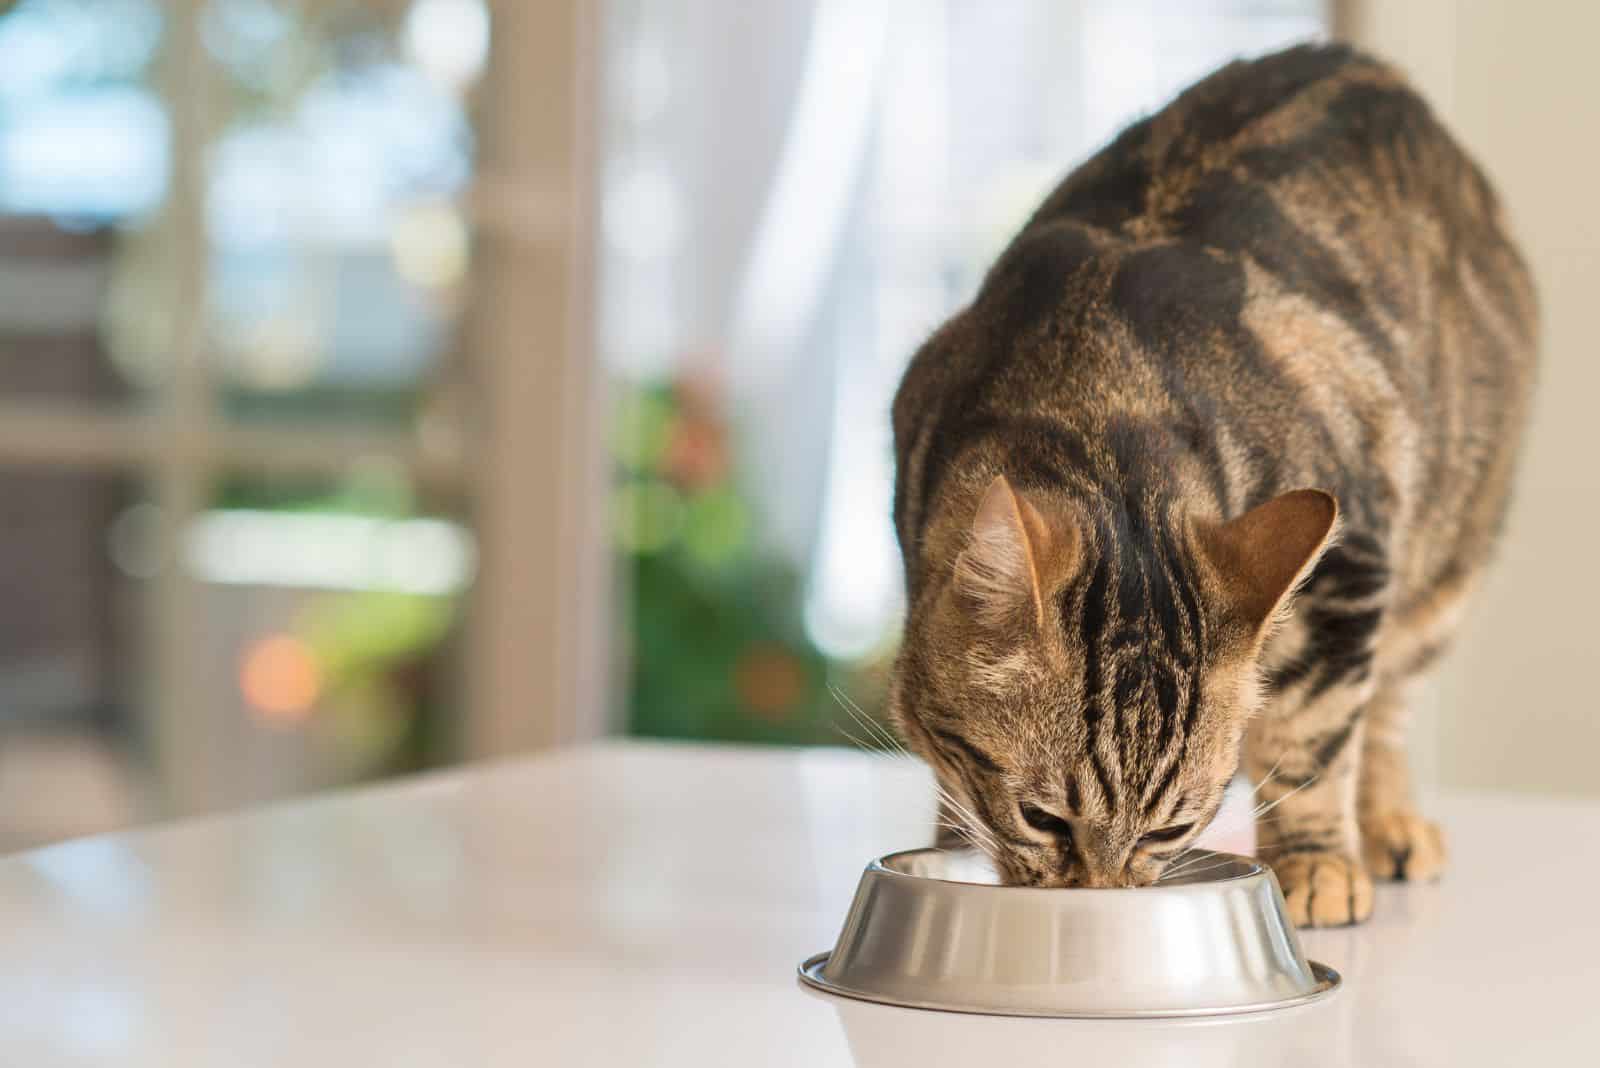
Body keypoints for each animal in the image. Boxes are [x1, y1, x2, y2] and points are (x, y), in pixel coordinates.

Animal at [889, 43, 1536, 927]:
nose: (1099, 900)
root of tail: (1376, 67)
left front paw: (1317, 863)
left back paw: (1389, 823)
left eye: (1171, 830)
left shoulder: (1354, 560)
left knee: (1389, 699)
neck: (1099, 389)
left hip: (1443, 565)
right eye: (1041, 816)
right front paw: (954, 840)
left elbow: (1316, 732)